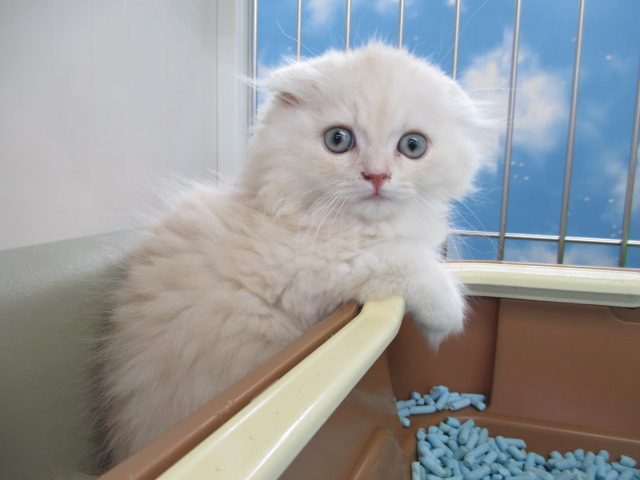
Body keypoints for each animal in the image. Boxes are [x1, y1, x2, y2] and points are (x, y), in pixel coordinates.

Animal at [100, 43, 496, 464]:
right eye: (338, 140)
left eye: (413, 146)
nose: (376, 175)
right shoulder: (315, 271)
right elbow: (404, 262)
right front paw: (446, 318)